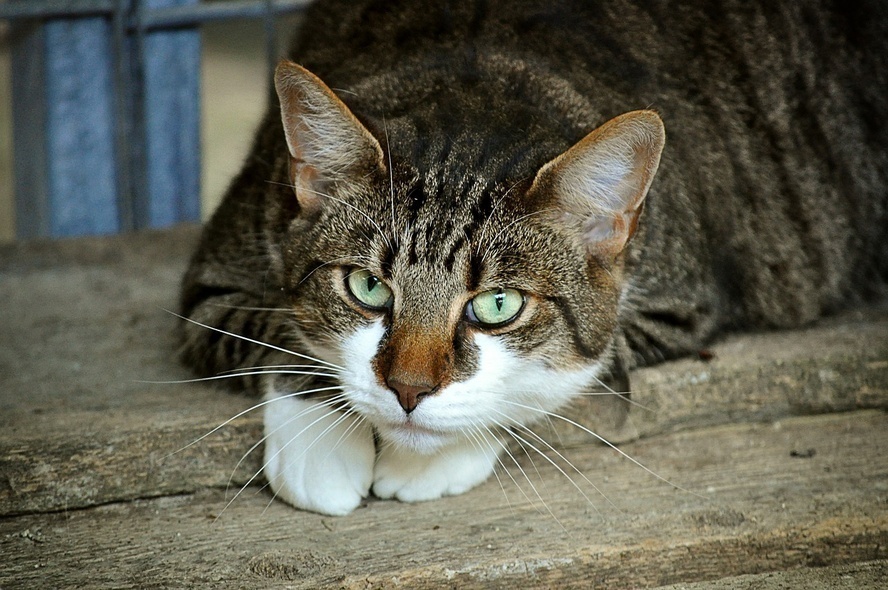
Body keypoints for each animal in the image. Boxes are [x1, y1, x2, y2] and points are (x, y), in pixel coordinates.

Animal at [177, 0, 884, 520]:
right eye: (368, 288)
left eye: (498, 305)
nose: (407, 391)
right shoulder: (216, 276)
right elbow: (276, 329)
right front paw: (320, 449)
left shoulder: (678, 304)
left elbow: (567, 372)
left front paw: (426, 461)